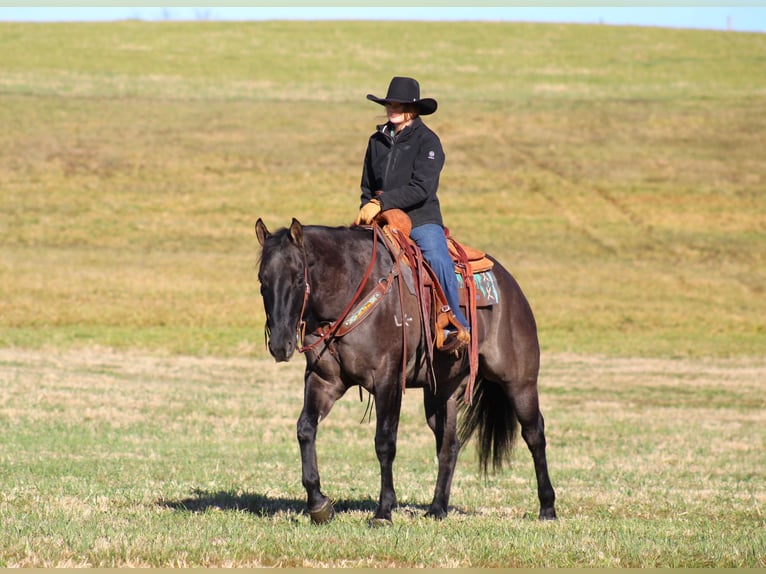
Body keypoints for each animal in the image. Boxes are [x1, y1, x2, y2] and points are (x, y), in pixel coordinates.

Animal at [258, 219, 560, 528]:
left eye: (298, 279)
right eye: (262, 281)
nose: (280, 344)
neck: (353, 289)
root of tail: (511, 287)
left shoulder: (388, 380)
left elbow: (384, 443)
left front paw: (383, 511)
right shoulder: (324, 380)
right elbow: (305, 429)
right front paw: (318, 504)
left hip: (519, 382)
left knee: (534, 434)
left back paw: (547, 508)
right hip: (442, 392)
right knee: (449, 444)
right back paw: (437, 508)